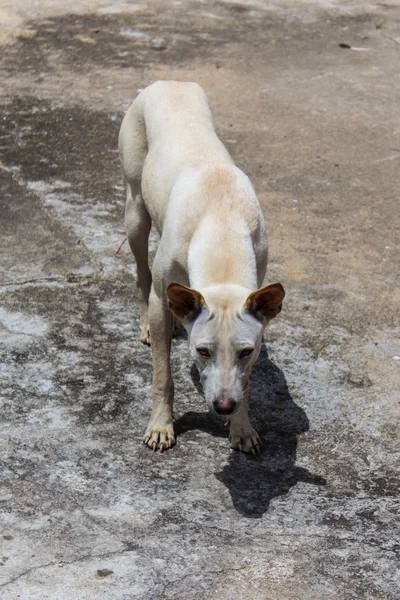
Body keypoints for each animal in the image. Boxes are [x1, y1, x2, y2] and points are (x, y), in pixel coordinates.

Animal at [119, 81, 284, 454]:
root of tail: (169, 82)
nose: (223, 406)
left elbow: (247, 384)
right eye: (202, 351)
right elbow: (162, 376)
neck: (221, 221)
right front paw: (161, 427)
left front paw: (242, 427)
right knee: (142, 272)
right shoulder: (162, 299)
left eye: (247, 352)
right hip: (135, 208)